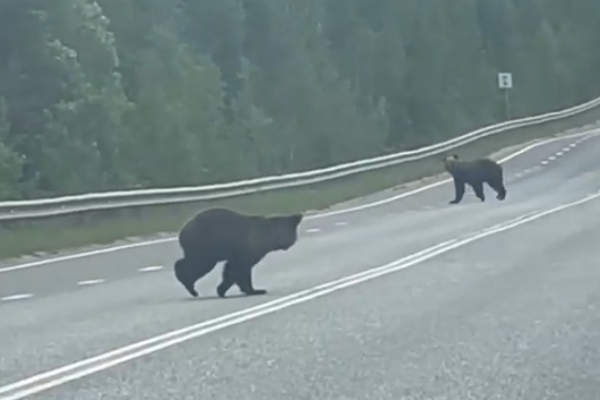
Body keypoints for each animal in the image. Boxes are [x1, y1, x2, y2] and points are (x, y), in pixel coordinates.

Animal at [173, 208, 304, 298]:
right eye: (292, 235)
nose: (288, 244)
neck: (269, 237)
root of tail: (183, 230)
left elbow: (235, 269)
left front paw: (251, 289)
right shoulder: (248, 249)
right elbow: (238, 268)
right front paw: (252, 290)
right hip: (204, 246)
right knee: (197, 265)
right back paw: (190, 287)